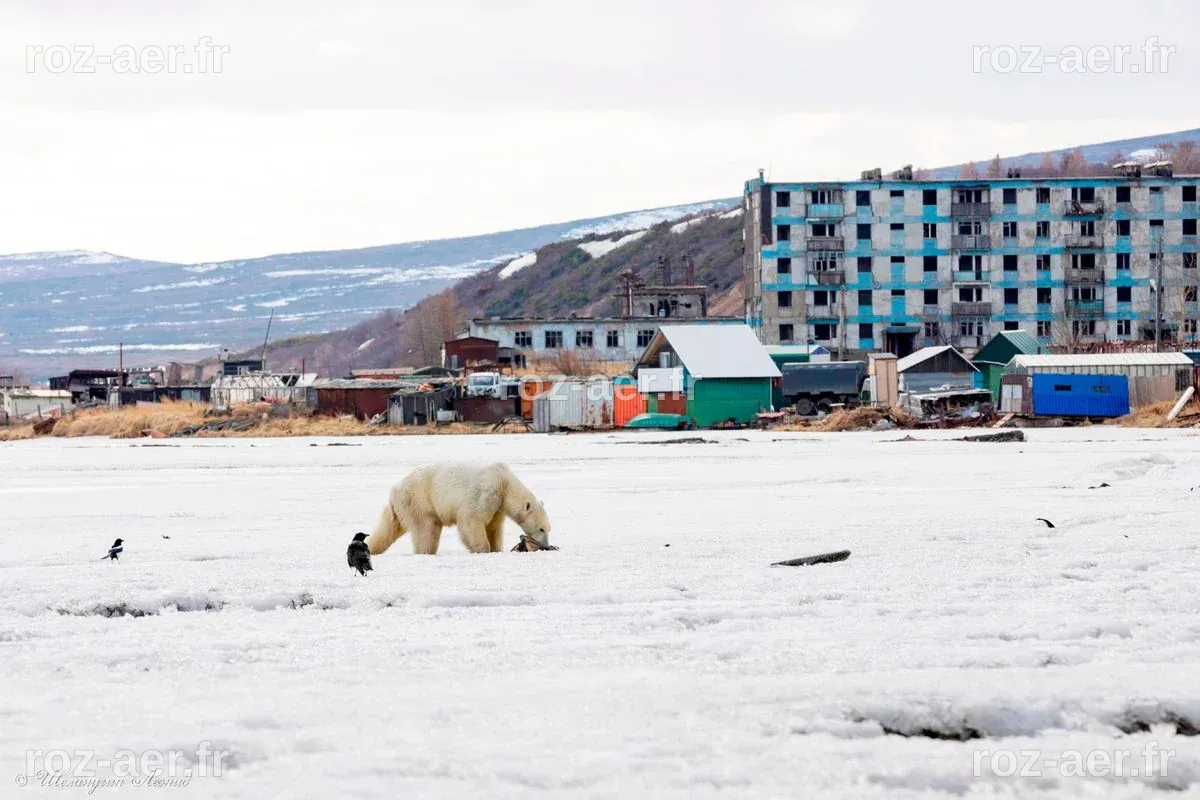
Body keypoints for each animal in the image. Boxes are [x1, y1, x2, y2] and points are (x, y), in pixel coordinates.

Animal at [365, 462, 551, 555]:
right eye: (541, 529)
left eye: (549, 529)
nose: (546, 545)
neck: (504, 480)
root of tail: (394, 490)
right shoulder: (486, 491)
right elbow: (471, 519)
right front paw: (483, 550)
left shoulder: (498, 506)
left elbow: (493, 527)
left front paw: (496, 548)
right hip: (420, 500)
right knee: (426, 529)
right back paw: (426, 552)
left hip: (403, 506)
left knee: (388, 528)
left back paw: (371, 548)